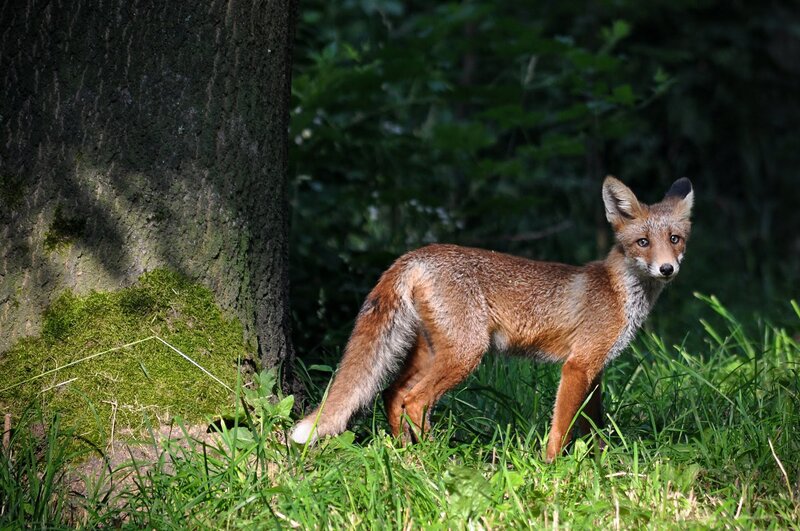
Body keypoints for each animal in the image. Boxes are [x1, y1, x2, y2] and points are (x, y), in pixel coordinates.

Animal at [291, 176, 694, 461]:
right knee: (414, 400)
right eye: (643, 242)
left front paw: (599, 463)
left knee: (393, 394)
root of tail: (416, 254)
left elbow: (593, 425)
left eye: (675, 239)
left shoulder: (595, 370)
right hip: (466, 353)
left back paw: (404, 452)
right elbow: (561, 427)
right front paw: (552, 467)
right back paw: (435, 455)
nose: (667, 269)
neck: (617, 291)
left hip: (430, 351)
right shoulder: (578, 366)